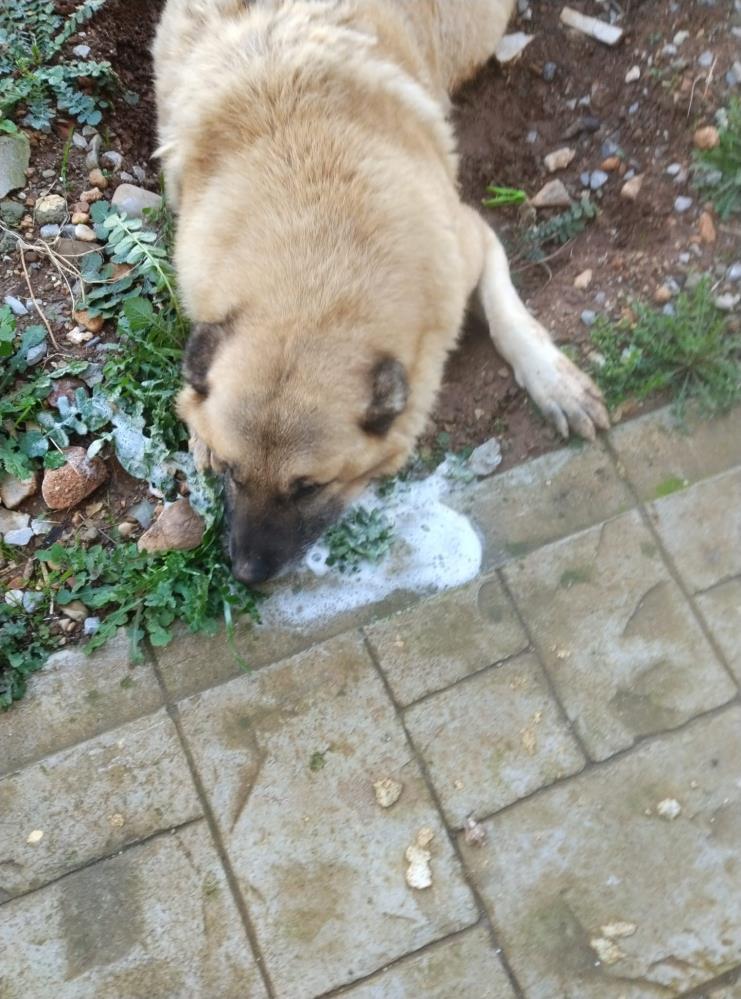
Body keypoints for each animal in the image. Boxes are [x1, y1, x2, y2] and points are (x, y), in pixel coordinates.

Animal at [153, 0, 608, 584]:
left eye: (309, 487)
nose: (248, 574)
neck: (317, 269)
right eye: (233, 472)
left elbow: (508, 313)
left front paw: (554, 382)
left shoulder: (468, 238)